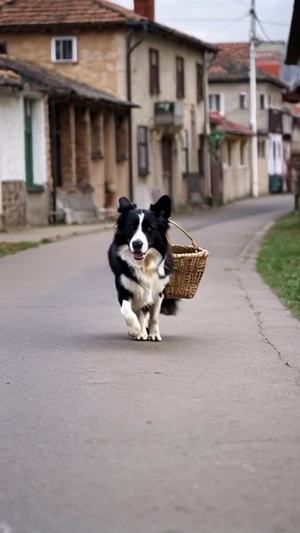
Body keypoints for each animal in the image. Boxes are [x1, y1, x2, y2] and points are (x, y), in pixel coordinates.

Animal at [108, 194, 177, 340]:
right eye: (131, 226)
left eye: (150, 228)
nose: (137, 244)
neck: (144, 264)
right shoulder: (124, 289)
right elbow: (127, 311)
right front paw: (135, 330)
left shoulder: (158, 291)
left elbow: (154, 316)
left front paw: (154, 334)